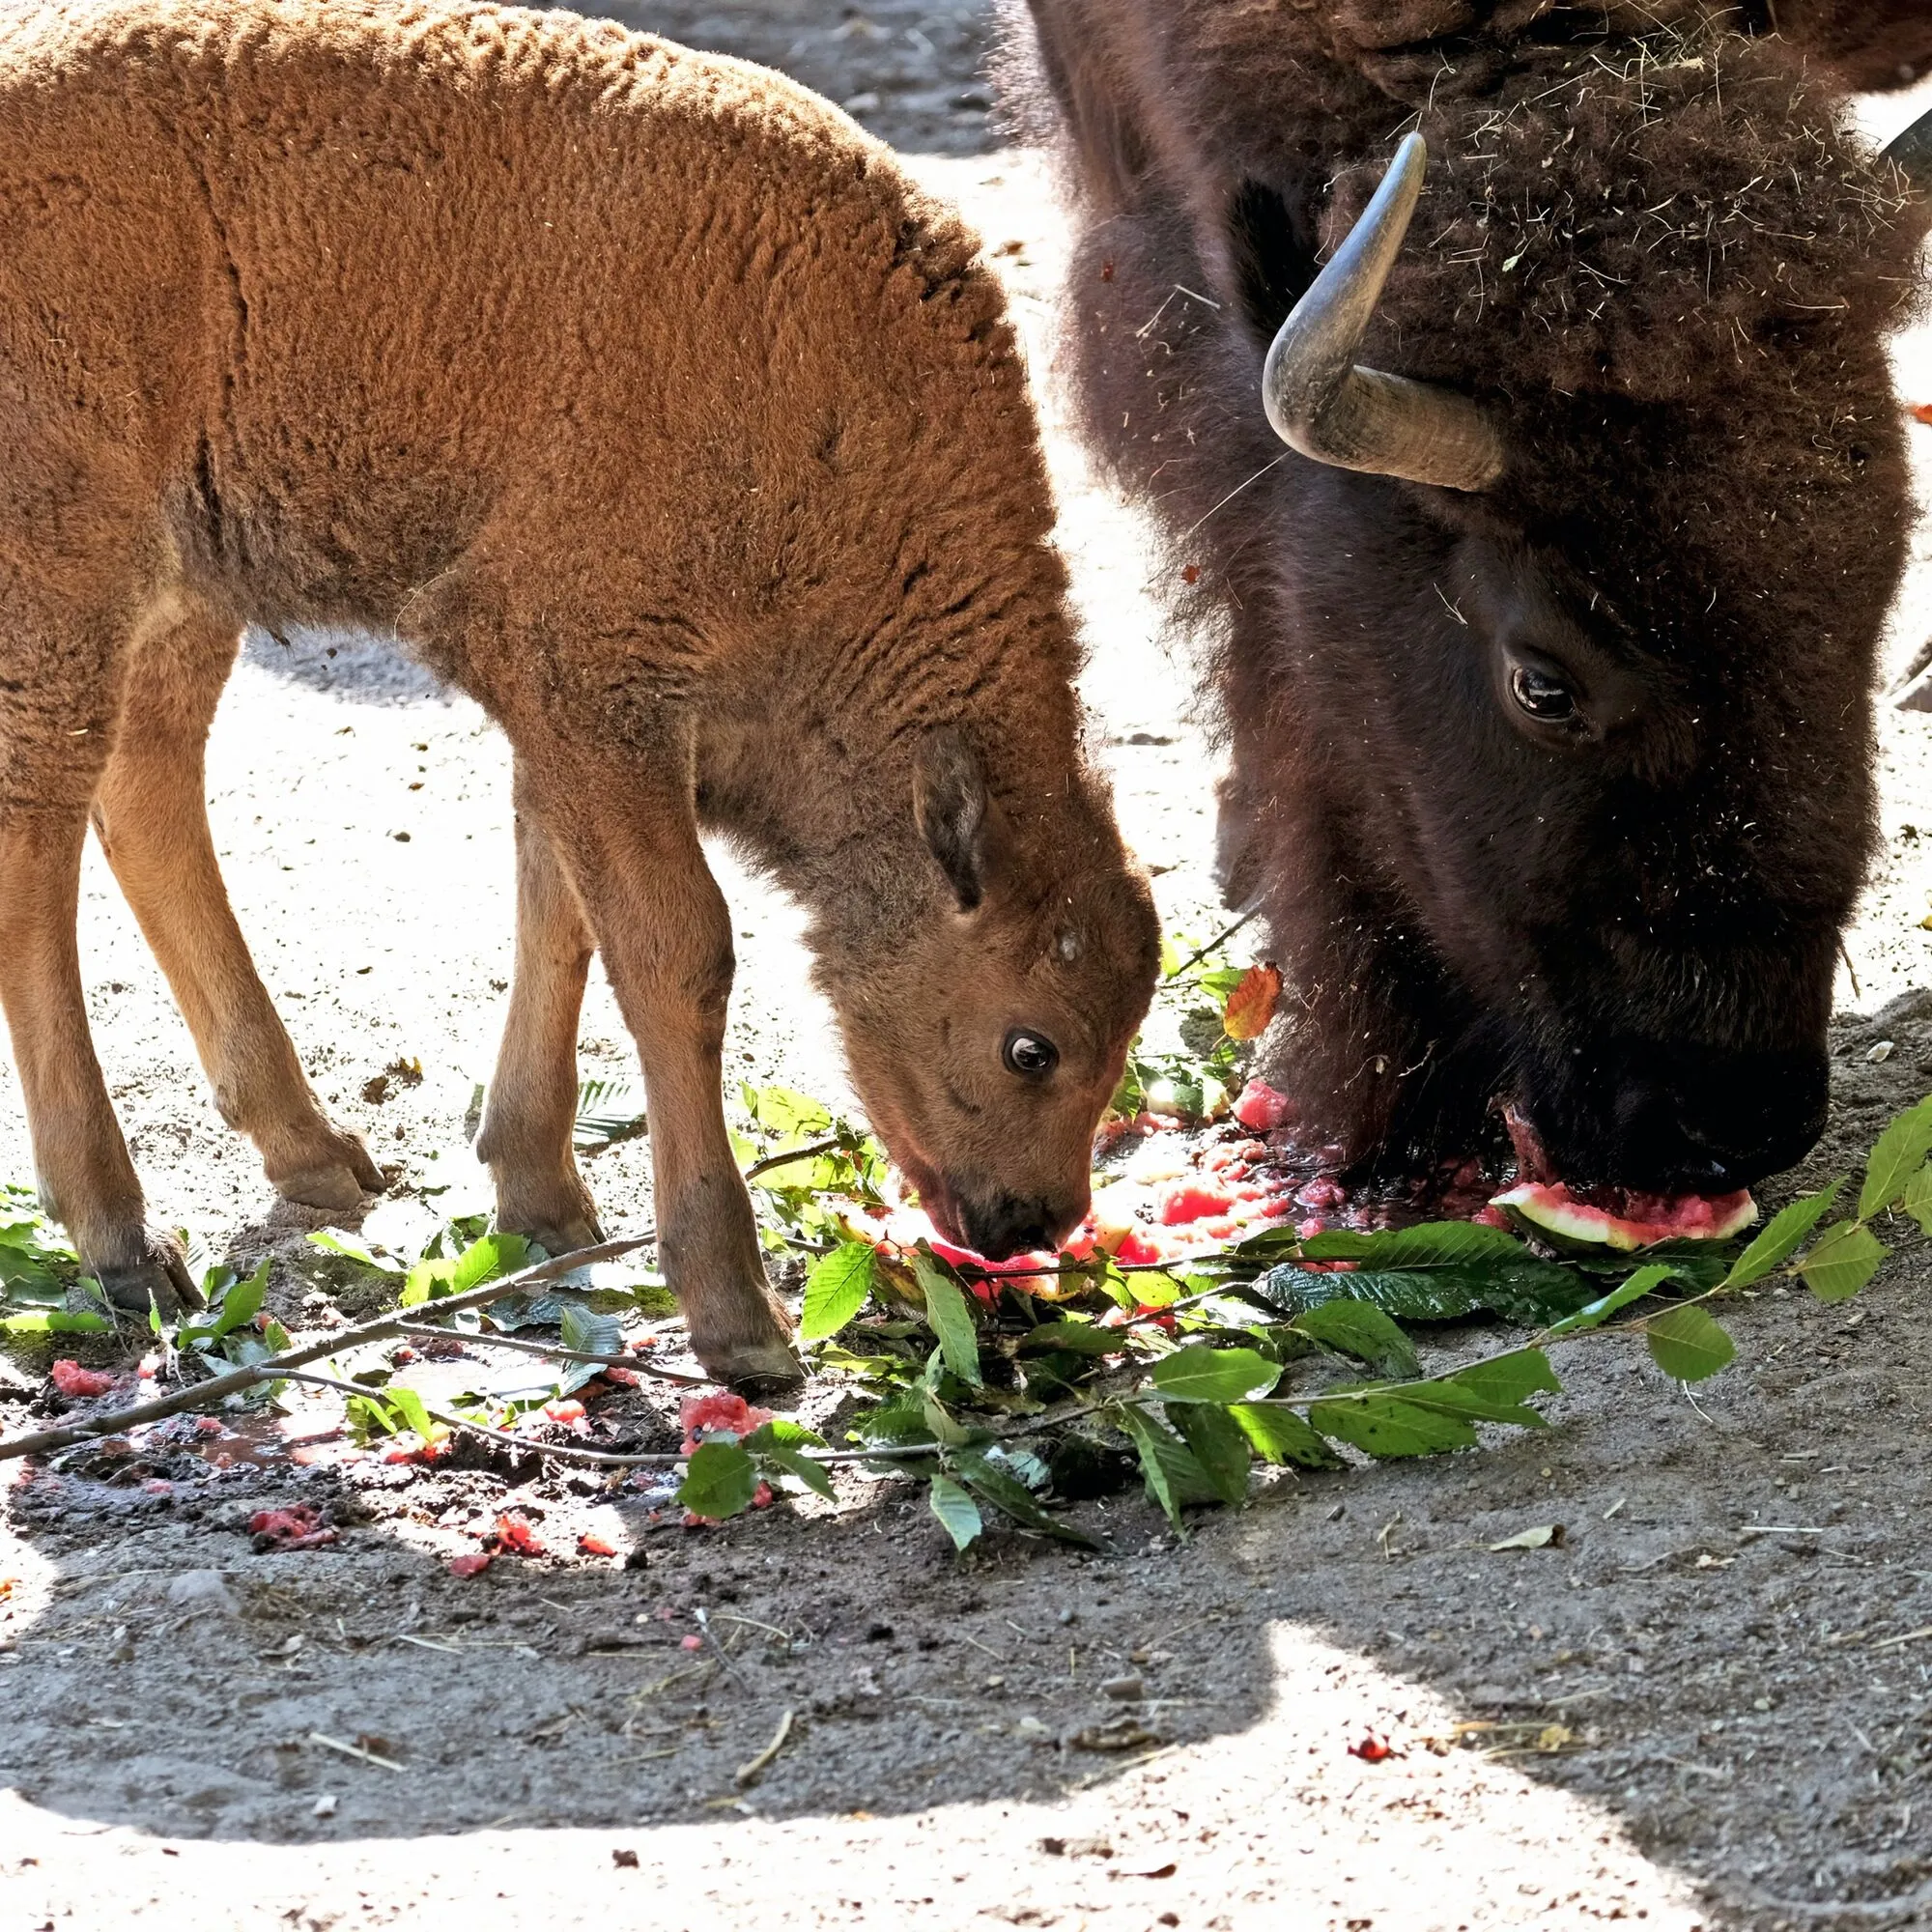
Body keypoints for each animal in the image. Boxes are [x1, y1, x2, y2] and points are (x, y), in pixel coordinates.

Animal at [0, 0, 1151, 1391]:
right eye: (1030, 1044)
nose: (1029, 1220)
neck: (837, 410)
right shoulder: (588, 672)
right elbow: (678, 947)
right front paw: (738, 1318)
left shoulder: (578, 710)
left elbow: (560, 910)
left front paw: (540, 1197)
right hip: (69, 565)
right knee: (36, 845)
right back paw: (122, 1238)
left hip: (186, 579)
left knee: (145, 790)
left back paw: (315, 1154)